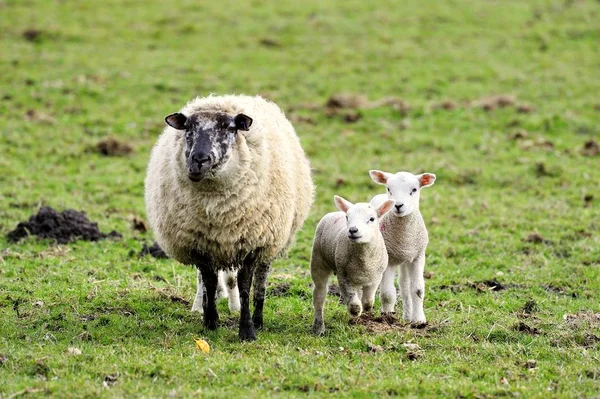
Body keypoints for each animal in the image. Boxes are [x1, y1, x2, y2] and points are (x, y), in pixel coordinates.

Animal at [145, 95, 314, 342]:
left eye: (230, 128)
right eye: (188, 128)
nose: (199, 160)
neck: (217, 210)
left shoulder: (252, 243)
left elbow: (244, 285)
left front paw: (247, 330)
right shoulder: (201, 244)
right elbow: (209, 280)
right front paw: (210, 322)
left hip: (270, 241)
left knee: (260, 281)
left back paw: (258, 319)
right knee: (207, 281)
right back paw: (203, 306)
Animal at [310, 195, 398, 336]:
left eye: (372, 219)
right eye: (347, 217)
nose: (353, 230)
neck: (363, 261)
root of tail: (334, 212)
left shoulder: (375, 277)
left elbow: (368, 301)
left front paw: (366, 313)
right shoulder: (343, 275)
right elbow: (354, 302)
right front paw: (355, 312)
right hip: (318, 261)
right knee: (319, 295)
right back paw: (319, 327)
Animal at [366, 170, 436, 324]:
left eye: (414, 189)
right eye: (389, 189)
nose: (398, 205)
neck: (404, 238)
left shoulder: (417, 257)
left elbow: (417, 290)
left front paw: (419, 321)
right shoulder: (388, 260)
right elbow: (387, 293)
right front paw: (387, 316)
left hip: (406, 260)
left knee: (404, 286)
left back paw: (408, 316)